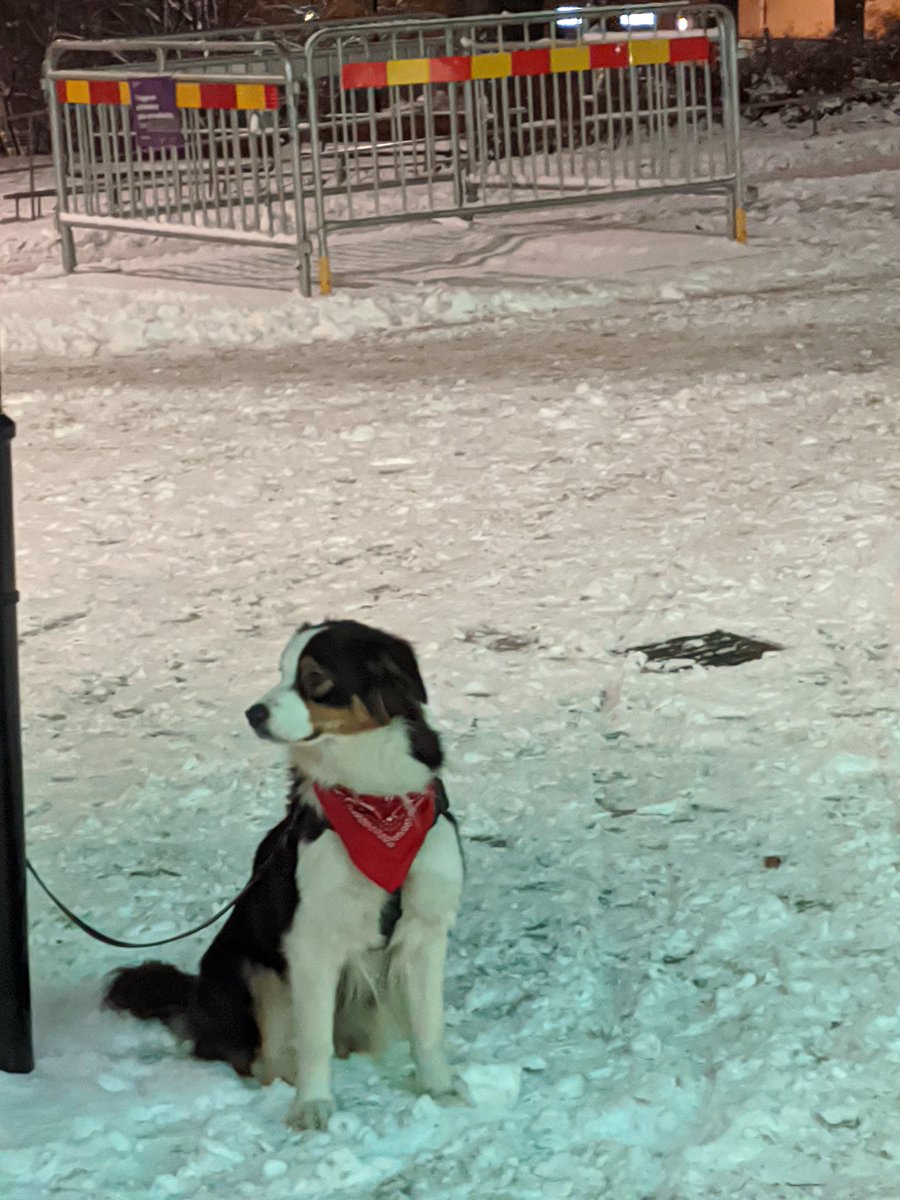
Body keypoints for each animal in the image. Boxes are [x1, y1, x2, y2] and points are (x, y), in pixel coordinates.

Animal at [107, 624, 465, 1128]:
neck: (377, 803)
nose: (252, 713)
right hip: (253, 969)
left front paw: (440, 1089)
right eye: (280, 671)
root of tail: (196, 997)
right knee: (263, 1059)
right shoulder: (310, 941)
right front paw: (313, 1106)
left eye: (314, 678)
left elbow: (428, 1027)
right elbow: (313, 1041)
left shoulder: (424, 934)